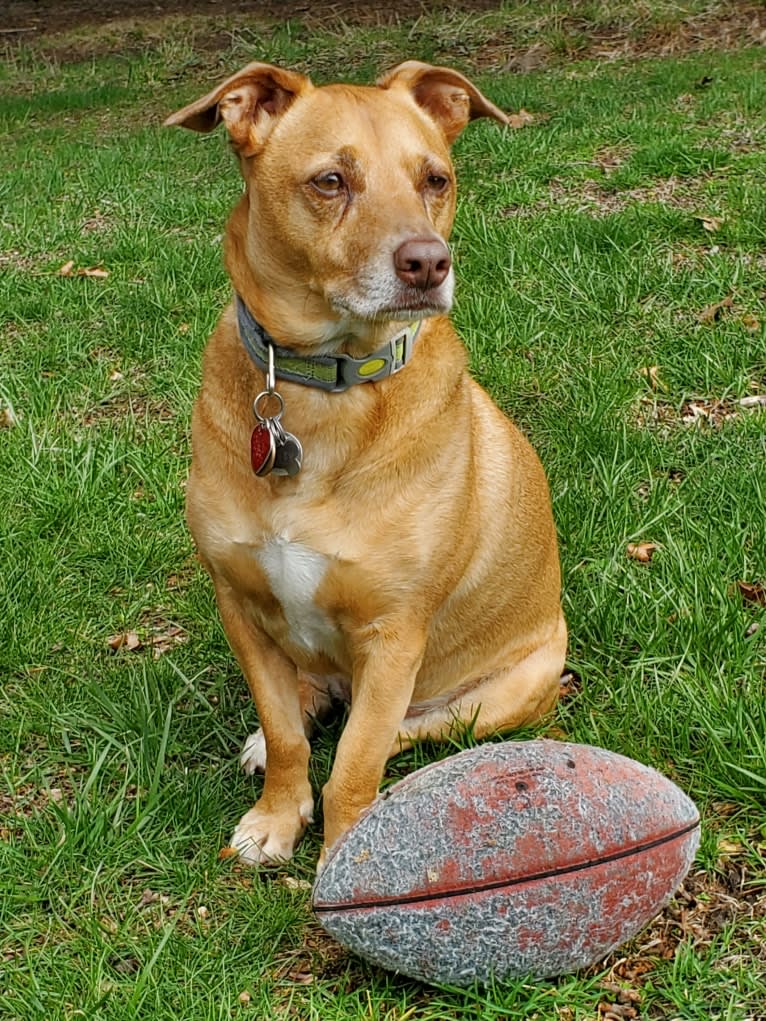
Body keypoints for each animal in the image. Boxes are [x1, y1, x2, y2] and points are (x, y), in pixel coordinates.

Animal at [165, 59, 567, 865]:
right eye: (330, 181)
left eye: (435, 179)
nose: (428, 263)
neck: (323, 390)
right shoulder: (240, 606)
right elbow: (288, 733)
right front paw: (276, 814)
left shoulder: (392, 635)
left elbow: (354, 760)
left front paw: (346, 849)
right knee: (311, 700)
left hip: (513, 685)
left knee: (412, 730)